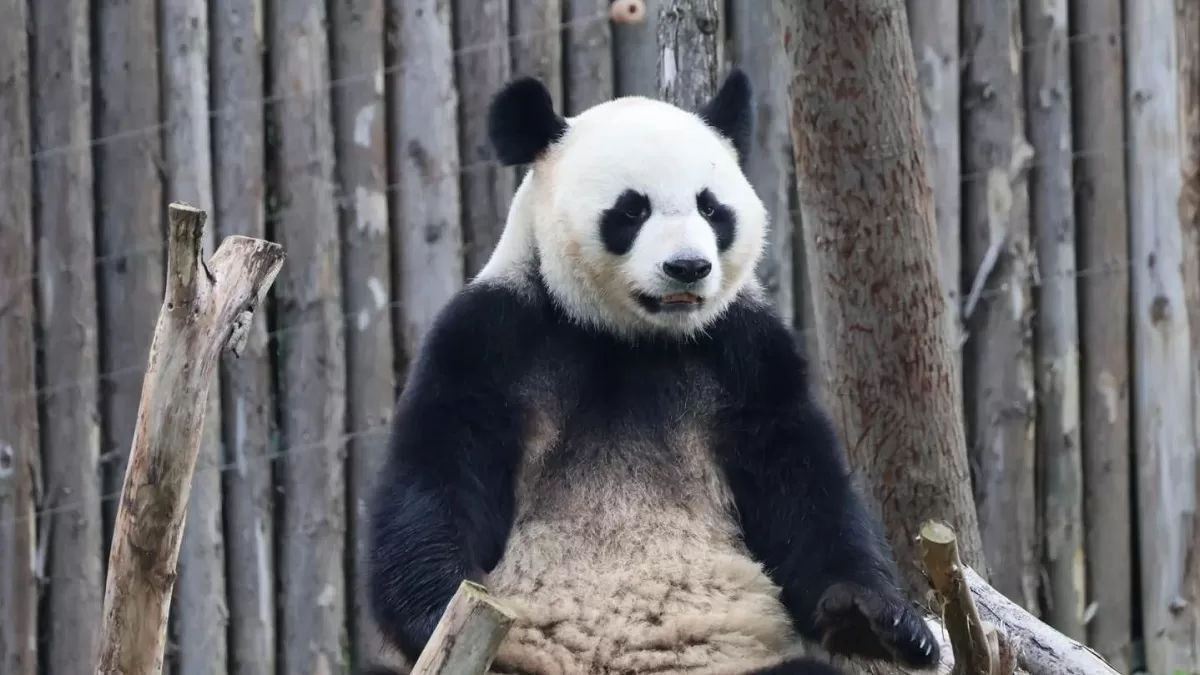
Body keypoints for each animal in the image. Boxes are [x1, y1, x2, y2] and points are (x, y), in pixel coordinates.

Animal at [364, 69, 941, 675]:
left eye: (711, 208)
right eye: (631, 210)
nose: (688, 266)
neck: (631, 336)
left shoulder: (746, 356)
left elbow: (801, 484)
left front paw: (880, 620)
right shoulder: (493, 337)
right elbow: (439, 470)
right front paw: (436, 612)